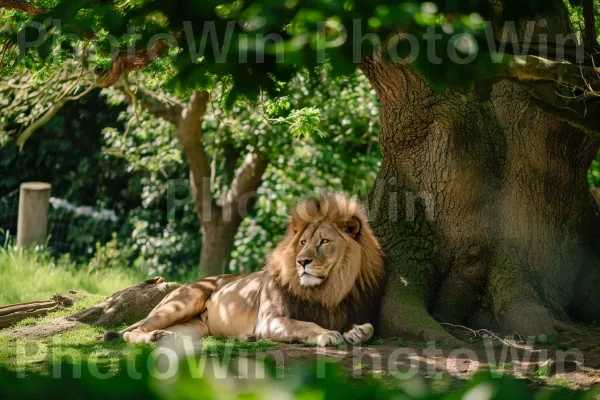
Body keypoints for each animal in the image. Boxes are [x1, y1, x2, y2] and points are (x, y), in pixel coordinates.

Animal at [107, 192, 384, 346]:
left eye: (324, 242)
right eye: (303, 243)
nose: (302, 262)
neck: (328, 289)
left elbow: (371, 327)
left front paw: (357, 333)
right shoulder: (270, 320)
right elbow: (305, 325)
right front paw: (328, 334)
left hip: (195, 327)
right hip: (182, 303)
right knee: (131, 333)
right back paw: (153, 337)